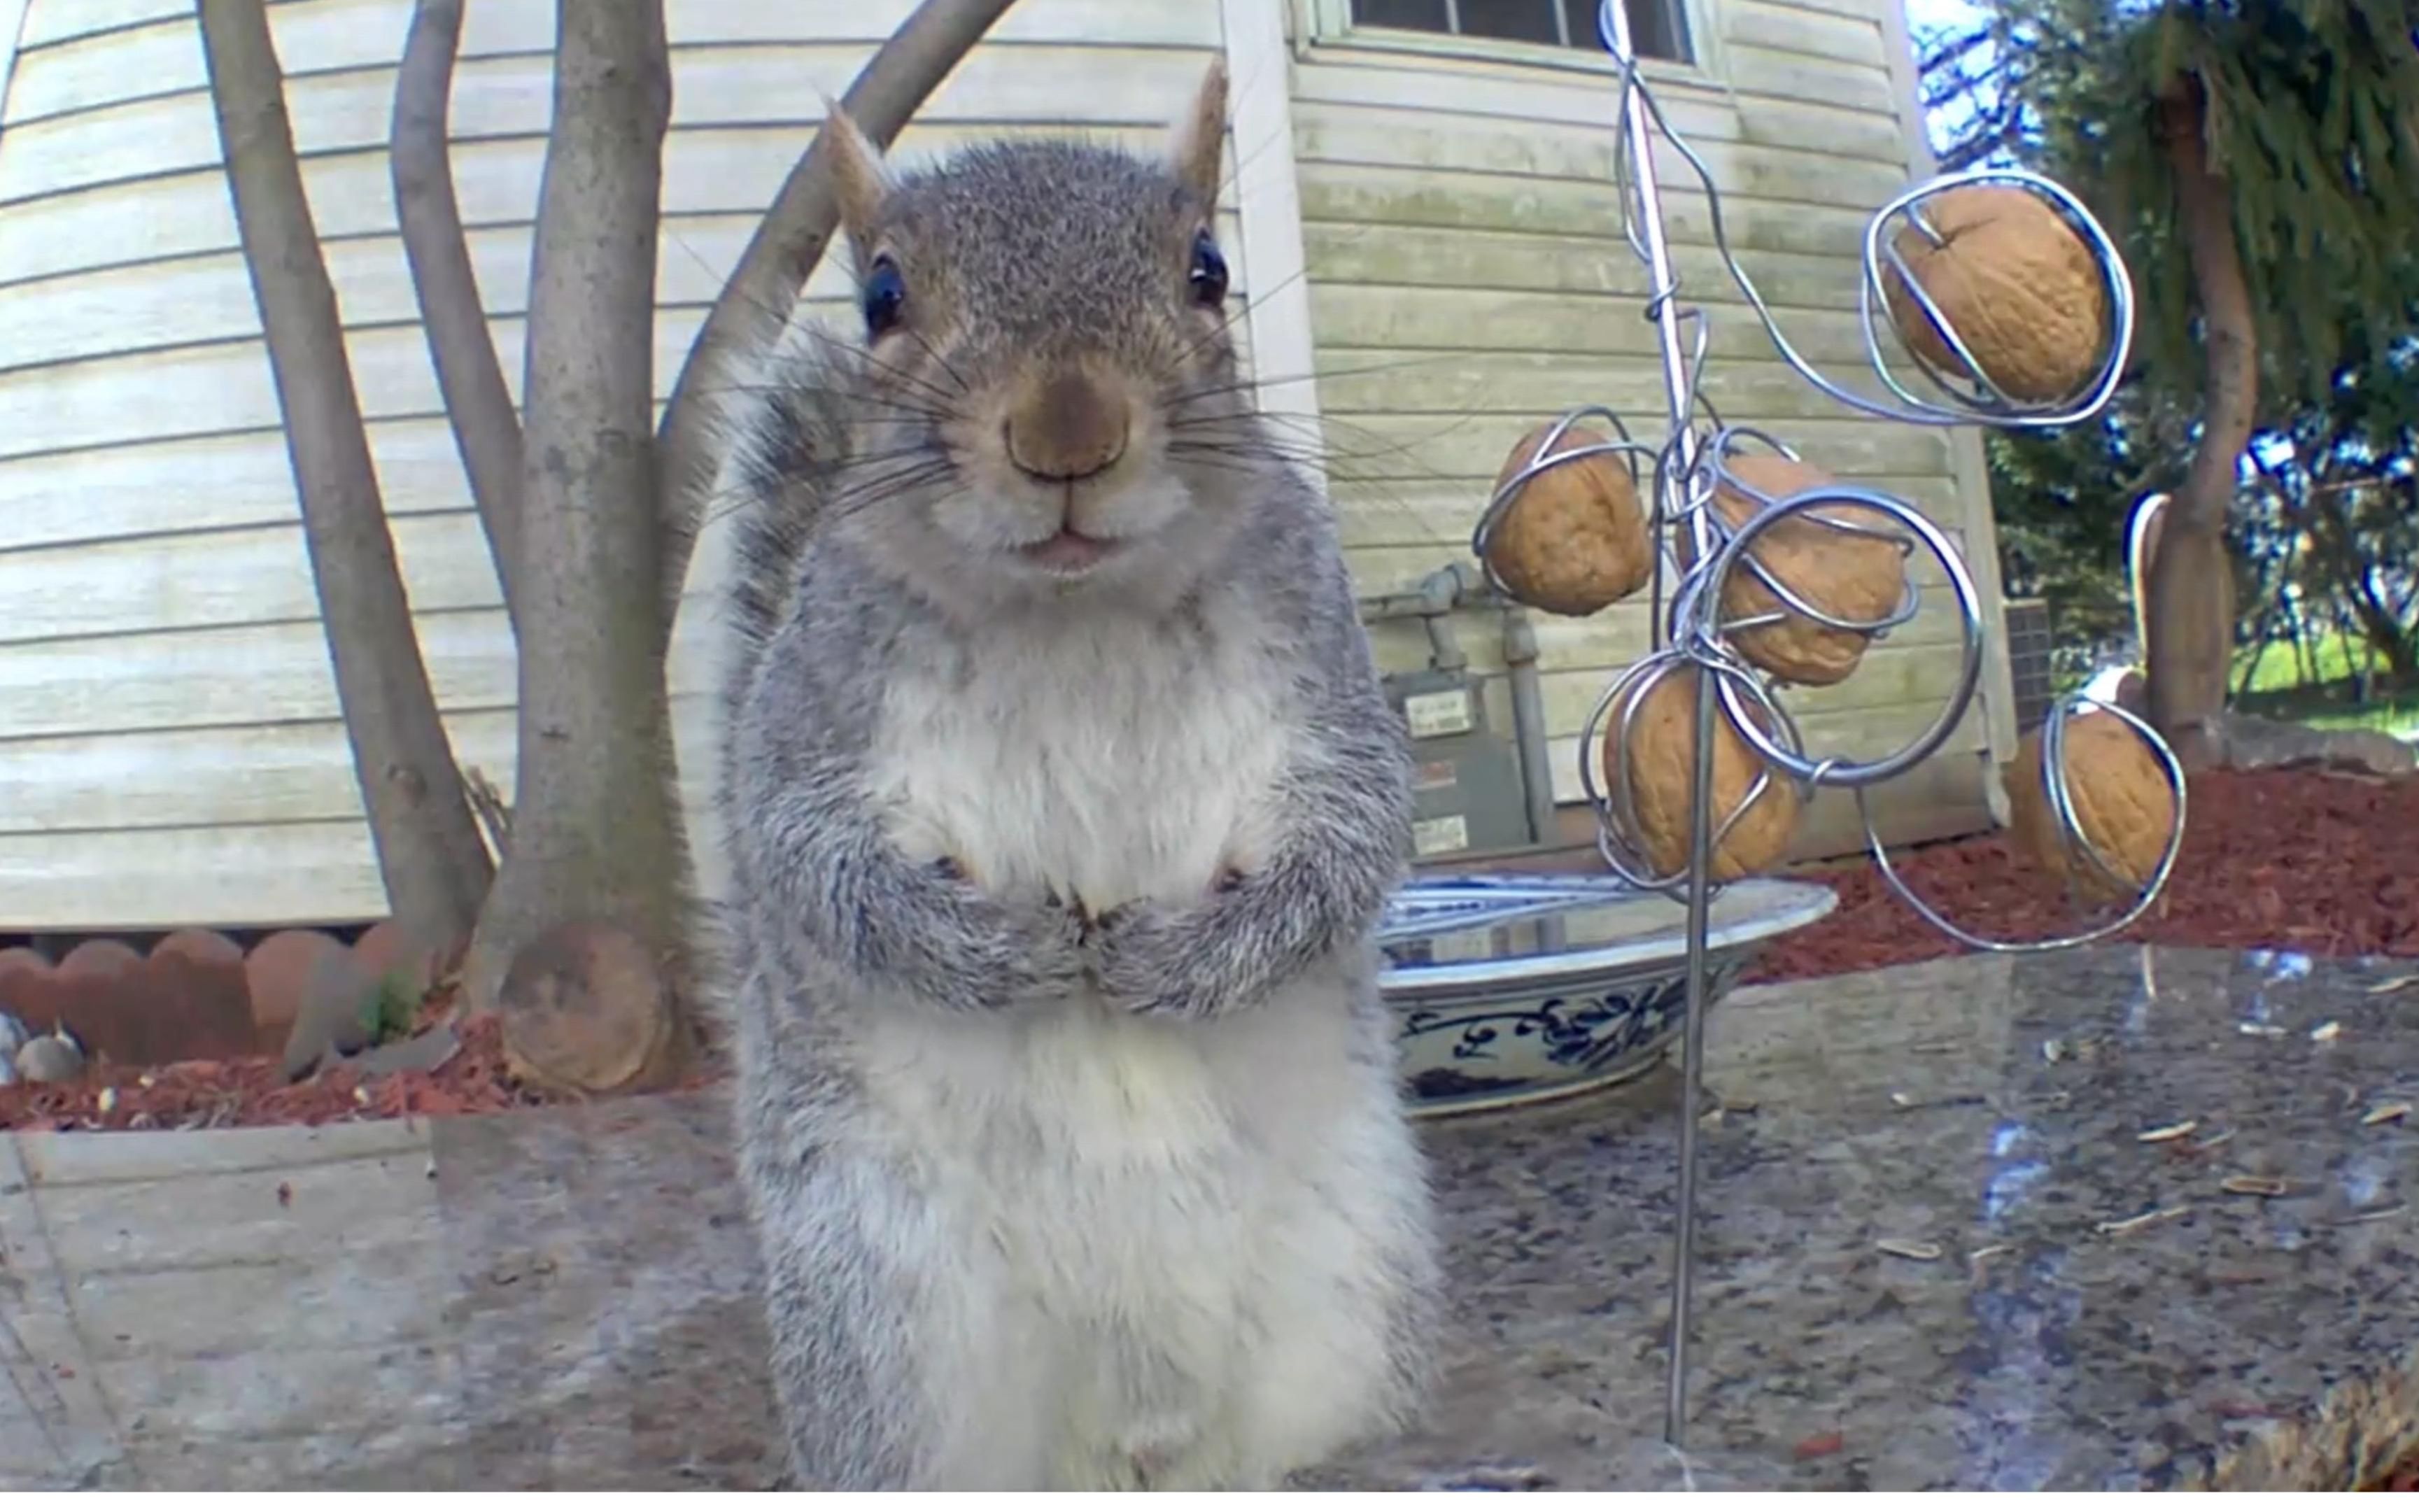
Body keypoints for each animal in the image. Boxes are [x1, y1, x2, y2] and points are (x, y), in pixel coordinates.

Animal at [706, 62, 1441, 1490]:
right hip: (889, 1326)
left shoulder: (1323, 684)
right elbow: (809, 860)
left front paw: (1183, 960)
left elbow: (1352, 840)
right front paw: (1005, 952)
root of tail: (1130, 1437)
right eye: (881, 296)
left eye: (1208, 270)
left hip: (1344, 1289)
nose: (1068, 431)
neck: (1071, 613)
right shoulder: (811, 715)